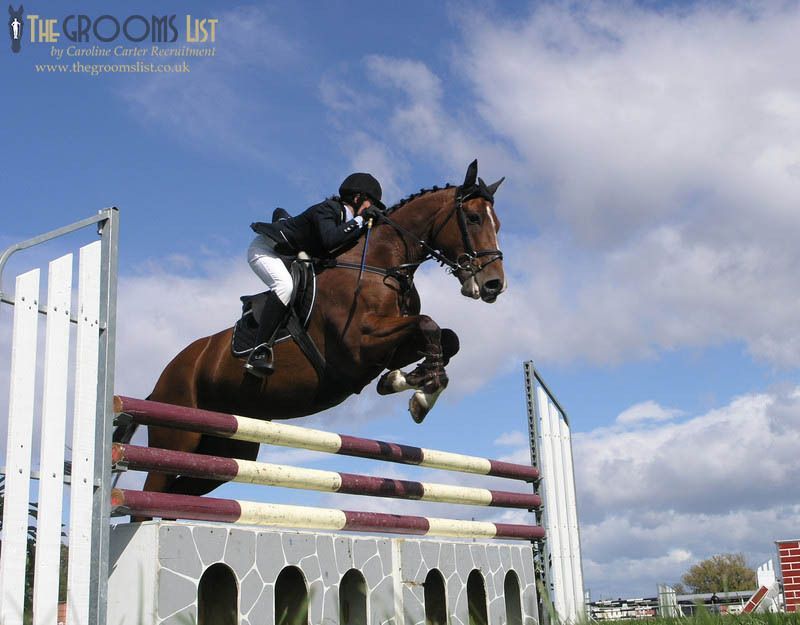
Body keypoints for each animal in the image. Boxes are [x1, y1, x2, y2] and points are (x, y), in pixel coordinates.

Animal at [133, 160, 506, 497]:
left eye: (498, 223)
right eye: (473, 218)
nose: (494, 285)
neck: (381, 264)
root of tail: (160, 382)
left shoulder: (387, 348)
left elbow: (447, 338)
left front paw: (409, 383)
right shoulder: (359, 345)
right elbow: (429, 324)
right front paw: (420, 393)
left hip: (228, 450)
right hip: (178, 435)